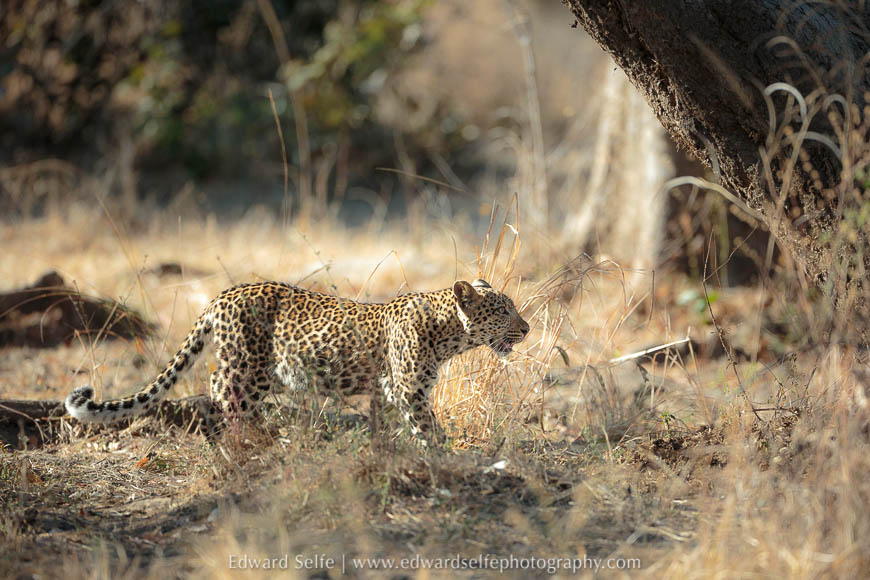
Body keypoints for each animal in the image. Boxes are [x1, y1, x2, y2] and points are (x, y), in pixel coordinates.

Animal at [65, 278, 529, 443]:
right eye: (503, 310)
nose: (525, 329)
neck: (450, 333)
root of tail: (220, 296)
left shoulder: (391, 389)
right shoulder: (408, 389)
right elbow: (428, 426)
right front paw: (443, 455)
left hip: (267, 370)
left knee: (221, 390)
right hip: (247, 367)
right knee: (223, 390)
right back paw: (257, 438)